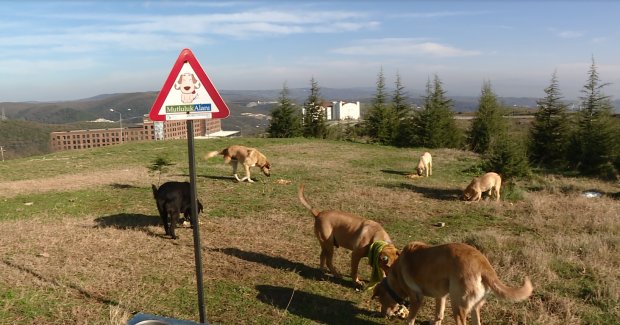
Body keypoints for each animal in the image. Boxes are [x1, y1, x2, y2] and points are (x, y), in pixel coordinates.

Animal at [372, 240, 532, 324]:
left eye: (381, 300)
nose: (382, 315)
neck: (397, 275)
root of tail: (483, 264)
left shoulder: (416, 297)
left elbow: (411, 318)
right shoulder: (441, 296)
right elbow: (439, 313)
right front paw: (435, 322)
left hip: (458, 305)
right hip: (474, 307)